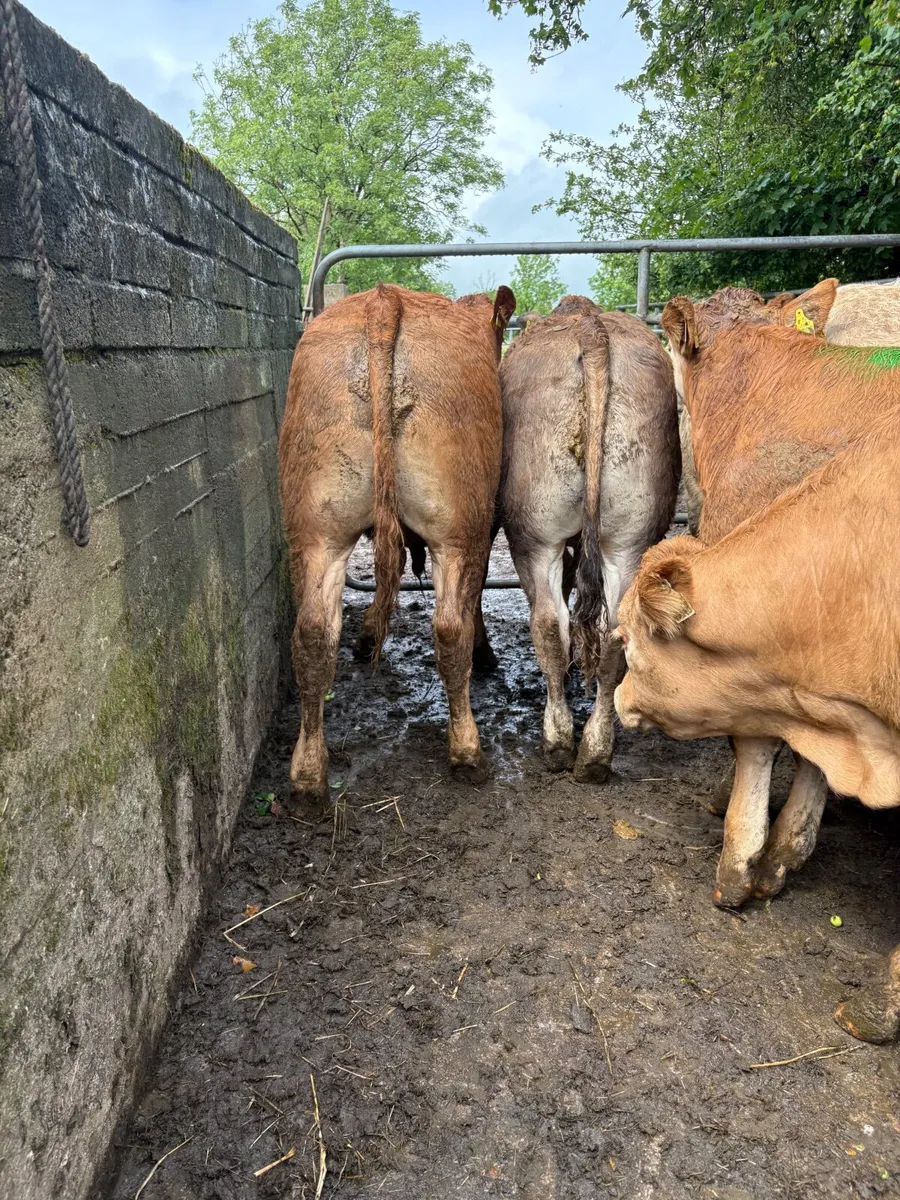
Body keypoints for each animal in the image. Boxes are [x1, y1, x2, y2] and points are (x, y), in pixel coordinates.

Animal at [279, 283, 515, 801]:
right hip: (459, 529)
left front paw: (366, 638)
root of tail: (384, 301)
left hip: (316, 530)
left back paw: (307, 773)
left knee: (312, 634)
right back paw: (467, 750)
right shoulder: (484, 530)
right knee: (450, 628)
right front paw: (487, 656)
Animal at [499, 295, 680, 781]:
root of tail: (590, 329)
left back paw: (559, 742)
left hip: (534, 535)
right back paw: (596, 753)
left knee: (548, 624)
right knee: (616, 630)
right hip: (630, 539)